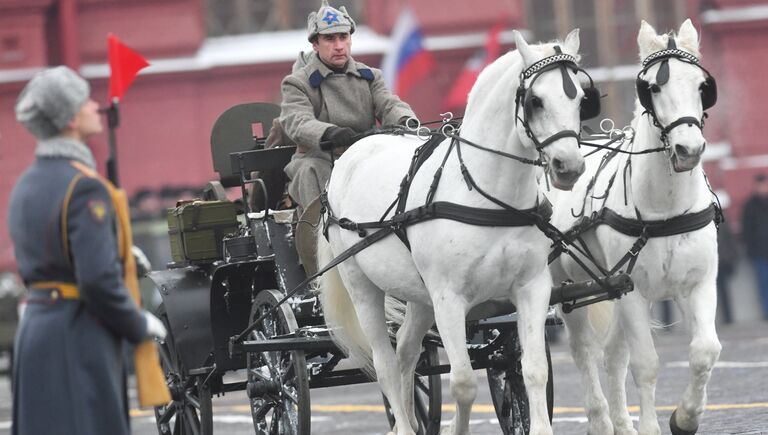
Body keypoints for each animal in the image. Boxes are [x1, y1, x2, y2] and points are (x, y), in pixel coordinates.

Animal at [316, 29, 588, 434]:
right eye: (535, 101)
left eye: (581, 97)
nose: (568, 166)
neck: (489, 197)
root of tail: (354, 149)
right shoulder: (448, 298)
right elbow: (462, 382)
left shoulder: (532, 287)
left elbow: (534, 369)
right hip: (362, 286)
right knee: (384, 363)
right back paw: (403, 425)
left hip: (418, 296)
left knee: (405, 354)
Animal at [552, 18, 720, 434]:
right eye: (653, 88)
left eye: (702, 86)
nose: (689, 150)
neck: (666, 208)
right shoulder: (633, 293)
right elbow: (646, 364)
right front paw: (650, 426)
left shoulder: (698, 283)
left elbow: (705, 351)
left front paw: (686, 417)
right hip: (565, 286)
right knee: (585, 353)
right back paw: (599, 420)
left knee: (613, 354)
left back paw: (620, 423)